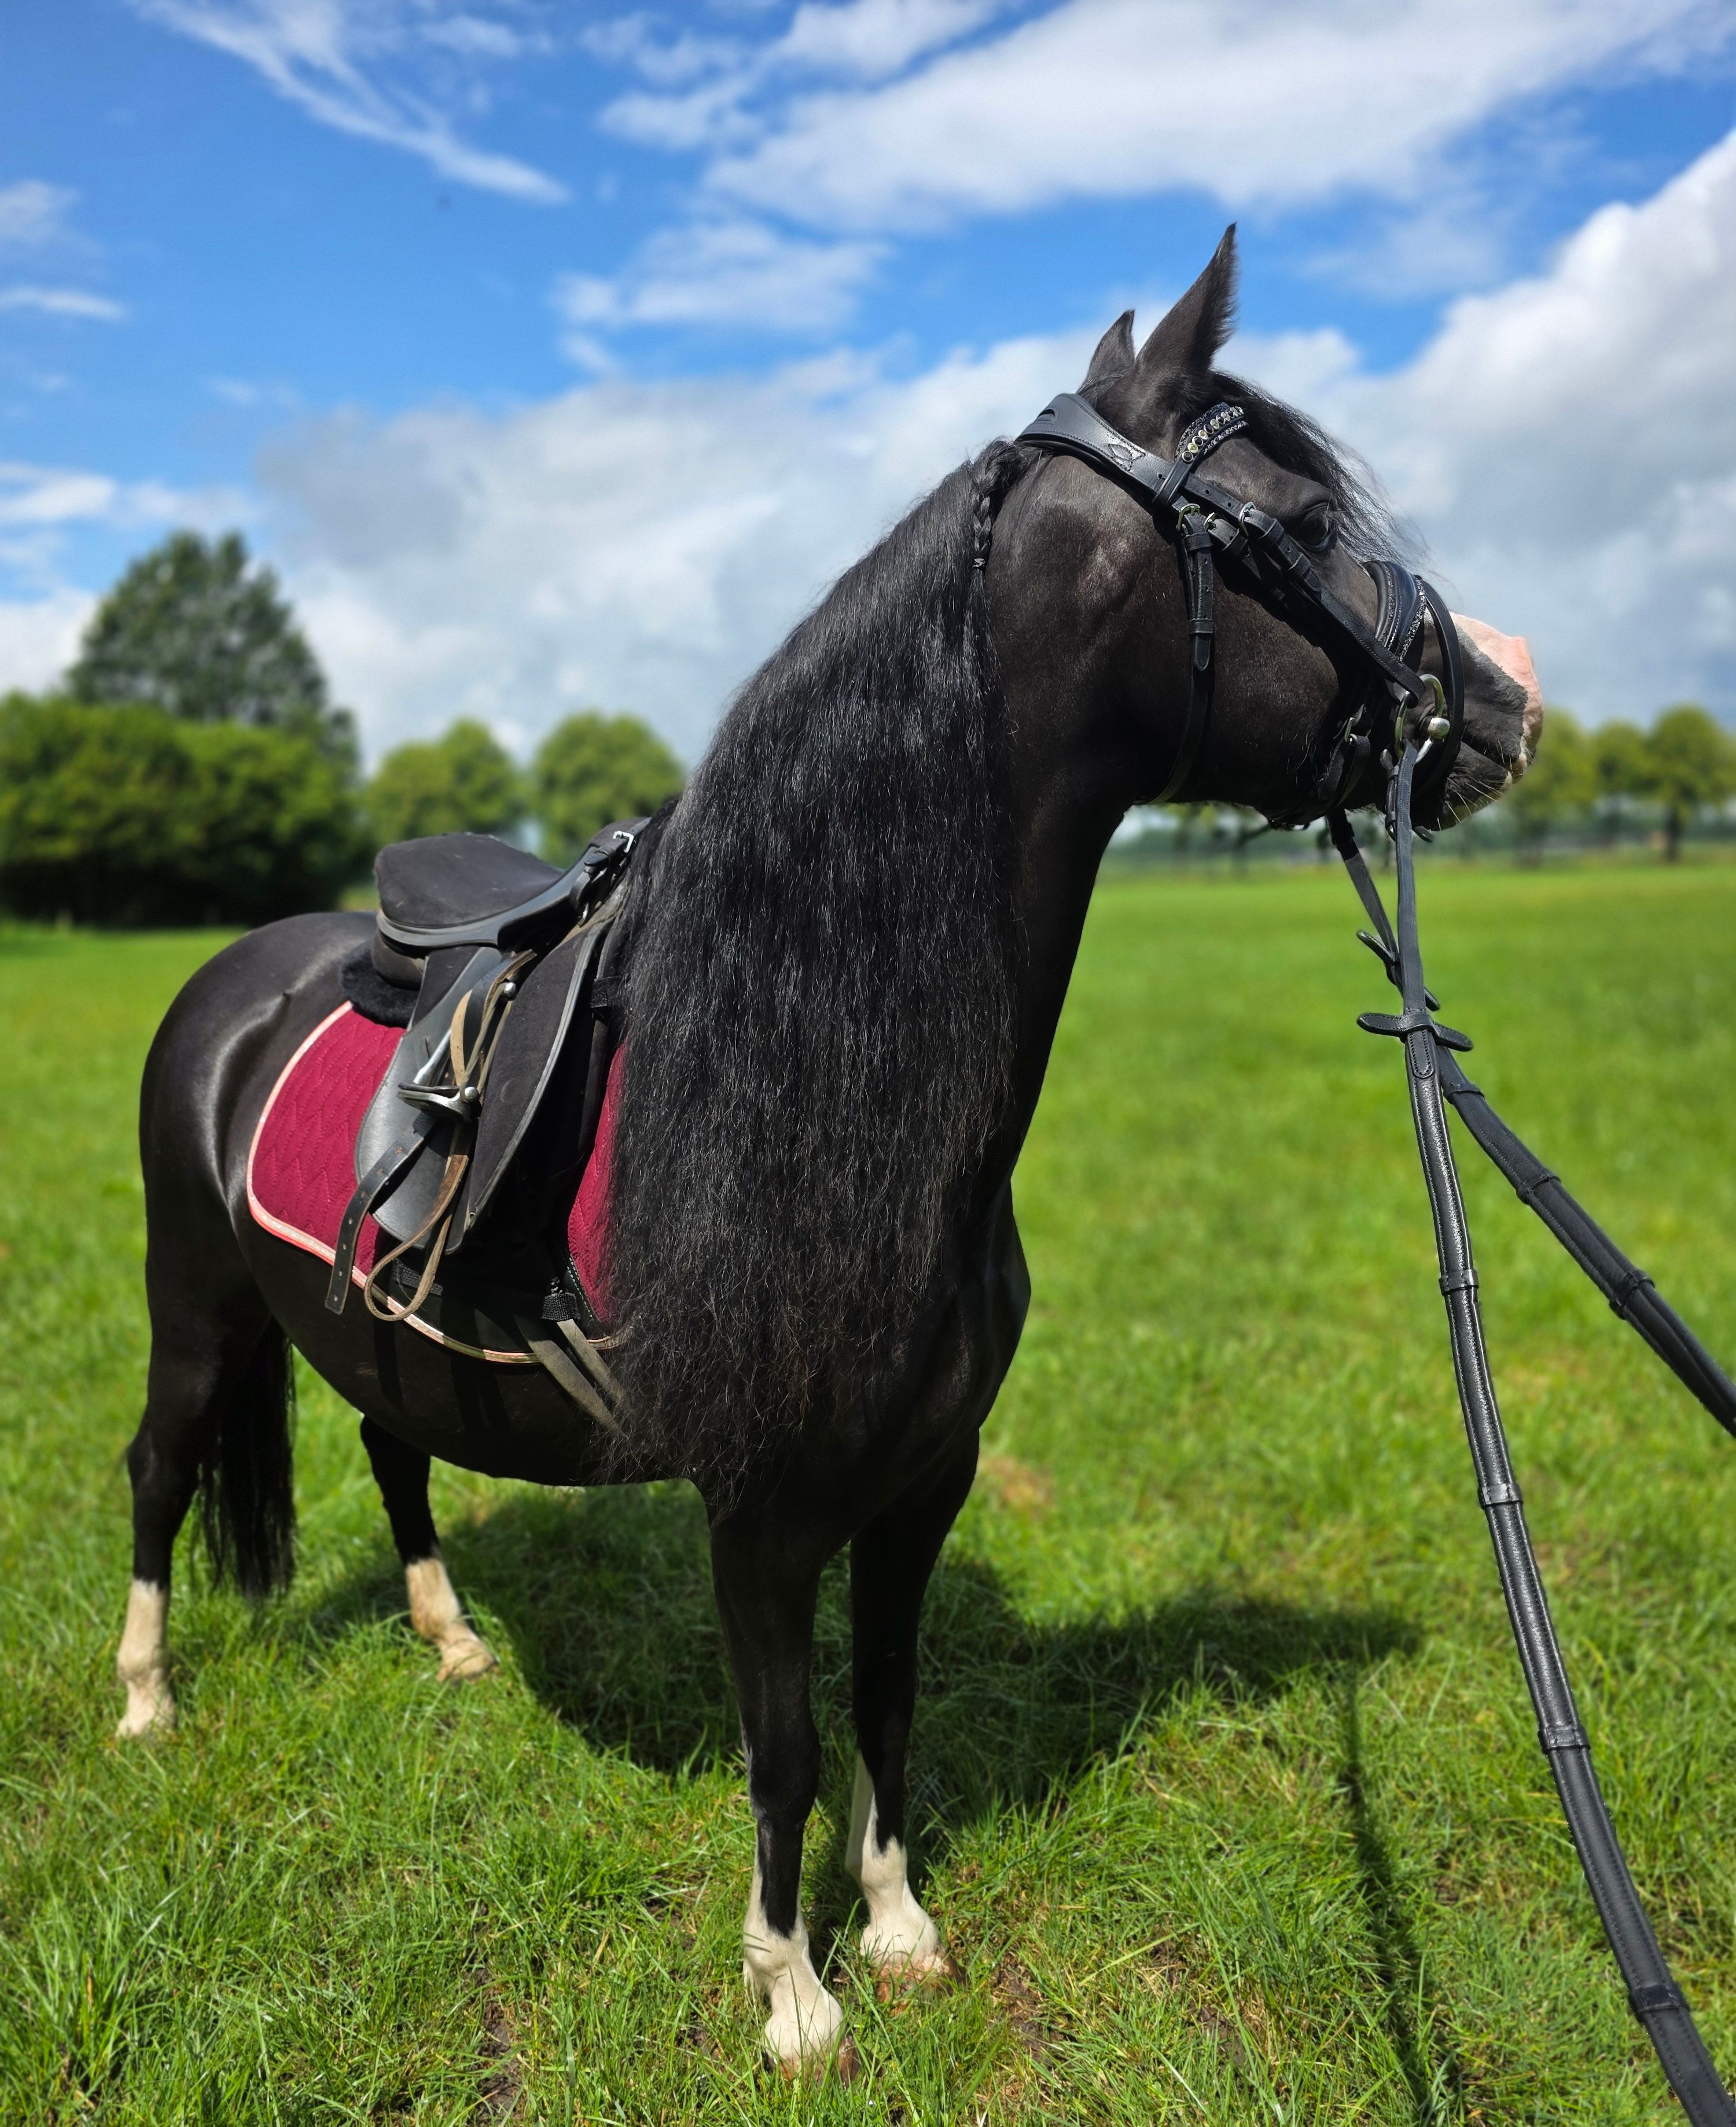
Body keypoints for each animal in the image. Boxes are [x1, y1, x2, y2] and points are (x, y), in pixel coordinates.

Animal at [115, 230, 1541, 2075]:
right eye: (1297, 520)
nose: (1504, 693)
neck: (836, 1104)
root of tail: (233, 977)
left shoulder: (923, 1477)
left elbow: (885, 1699)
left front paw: (901, 1926)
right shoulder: (763, 1506)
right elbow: (782, 1741)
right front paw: (791, 1992)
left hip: (365, 1328)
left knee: (393, 1448)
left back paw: (451, 1644)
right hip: (195, 1302)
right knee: (158, 1467)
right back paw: (146, 1701)